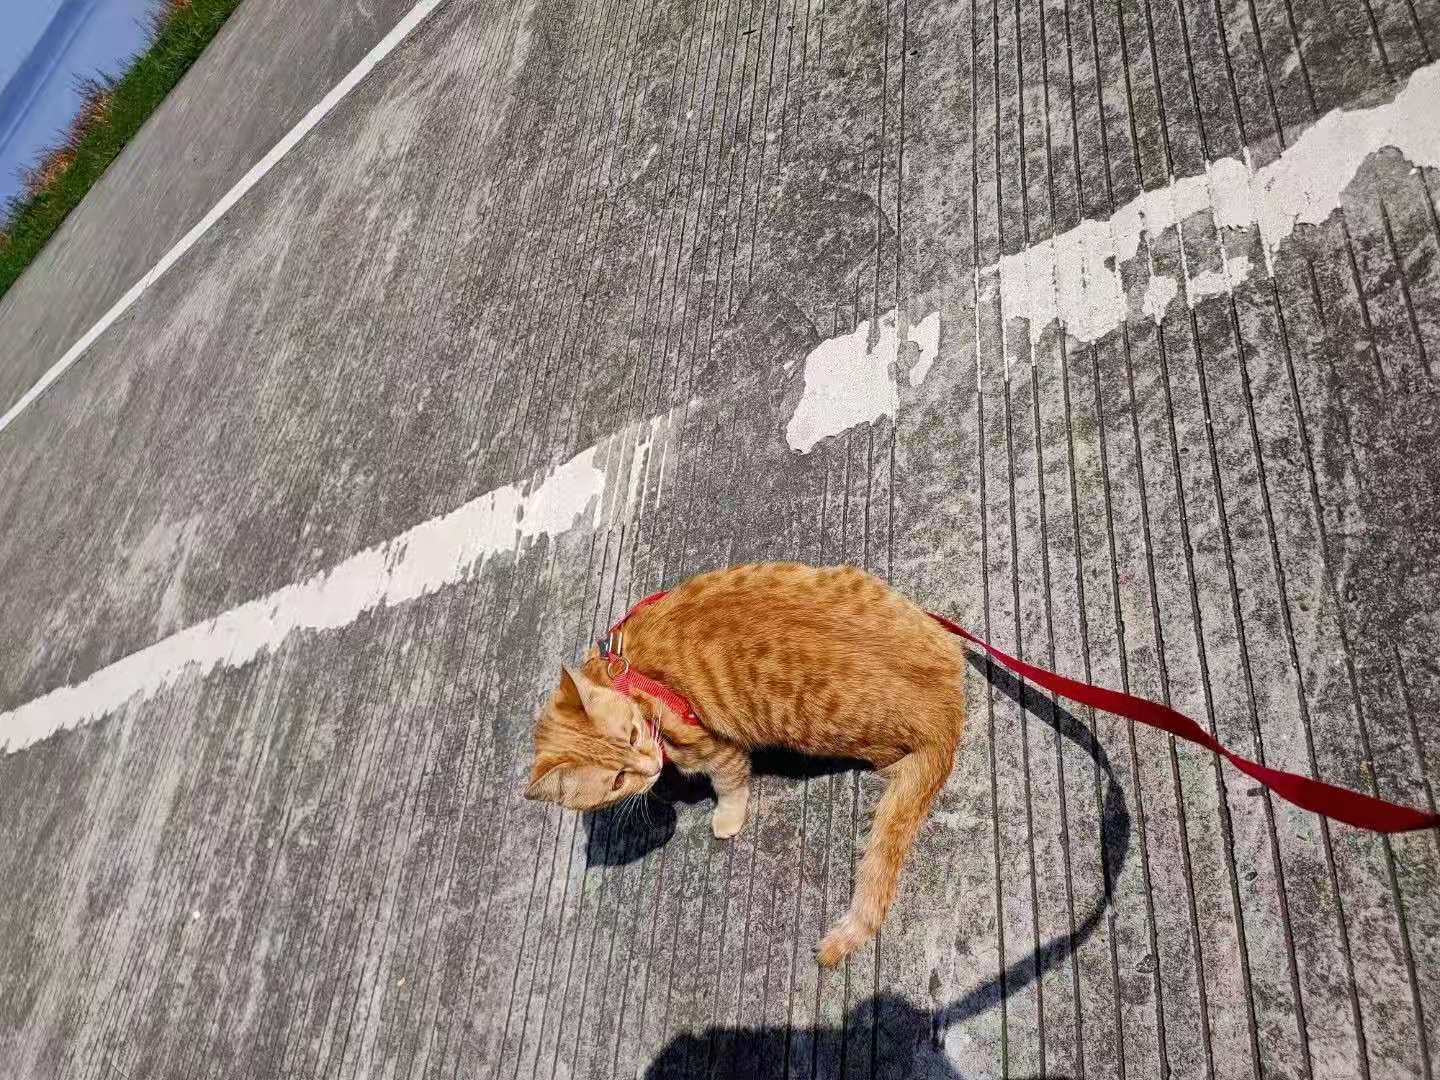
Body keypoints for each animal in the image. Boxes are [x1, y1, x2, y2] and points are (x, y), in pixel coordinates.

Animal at [527, 561, 967, 967]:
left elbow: (729, 785)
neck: (622, 676)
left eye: (634, 736)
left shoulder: (717, 749)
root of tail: (947, 704)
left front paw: (724, 816)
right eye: (618, 779)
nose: (650, 767)